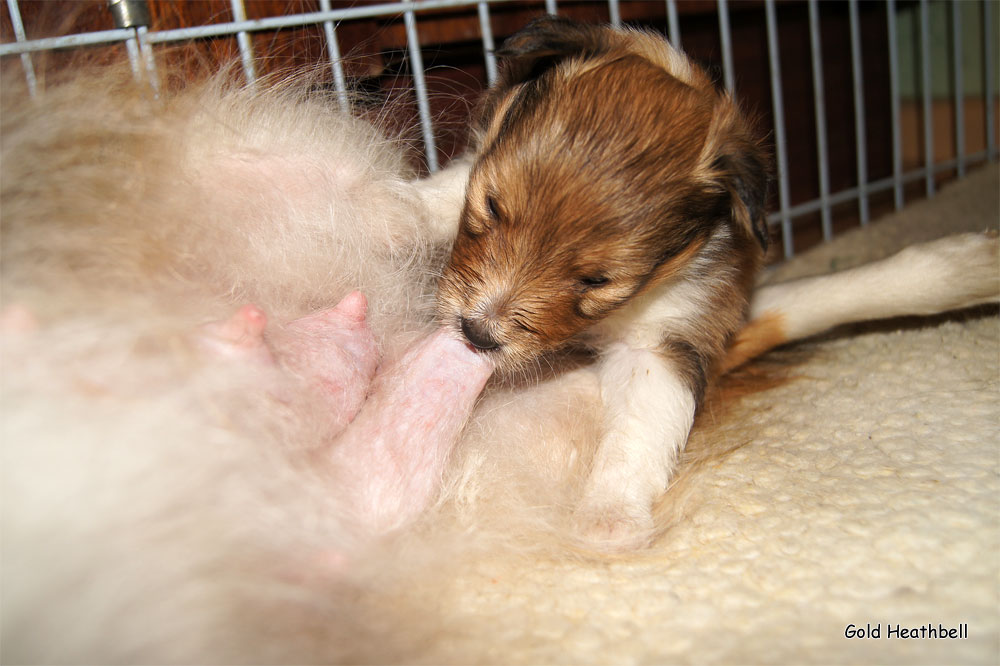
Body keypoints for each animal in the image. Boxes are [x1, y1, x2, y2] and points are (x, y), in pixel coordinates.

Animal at [434, 18, 768, 548]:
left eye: (597, 279)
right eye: (490, 206)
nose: (477, 334)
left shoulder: (661, 340)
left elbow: (638, 432)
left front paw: (610, 515)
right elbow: (445, 189)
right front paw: (384, 206)